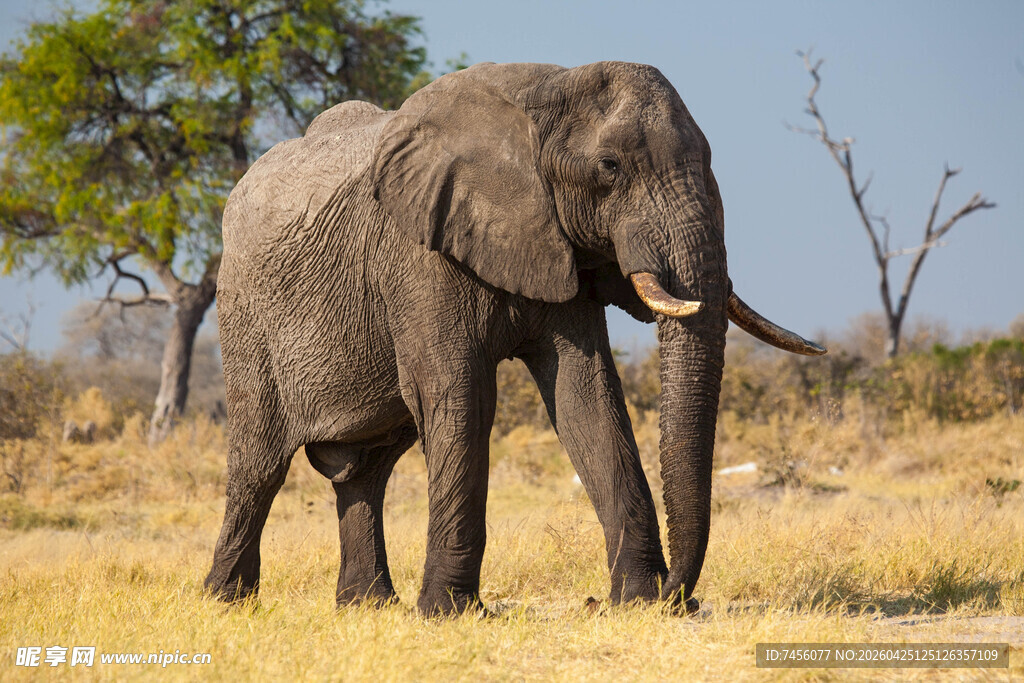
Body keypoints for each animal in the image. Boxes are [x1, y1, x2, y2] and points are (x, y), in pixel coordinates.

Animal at [204, 61, 825, 616]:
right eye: (609, 166)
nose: (683, 598)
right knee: (260, 461)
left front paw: (636, 602)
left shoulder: (559, 245)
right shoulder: (420, 252)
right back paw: (227, 602)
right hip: (244, 313)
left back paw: (366, 607)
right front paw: (449, 614)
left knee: (366, 470)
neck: (545, 93)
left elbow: (587, 397)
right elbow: (461, 398)